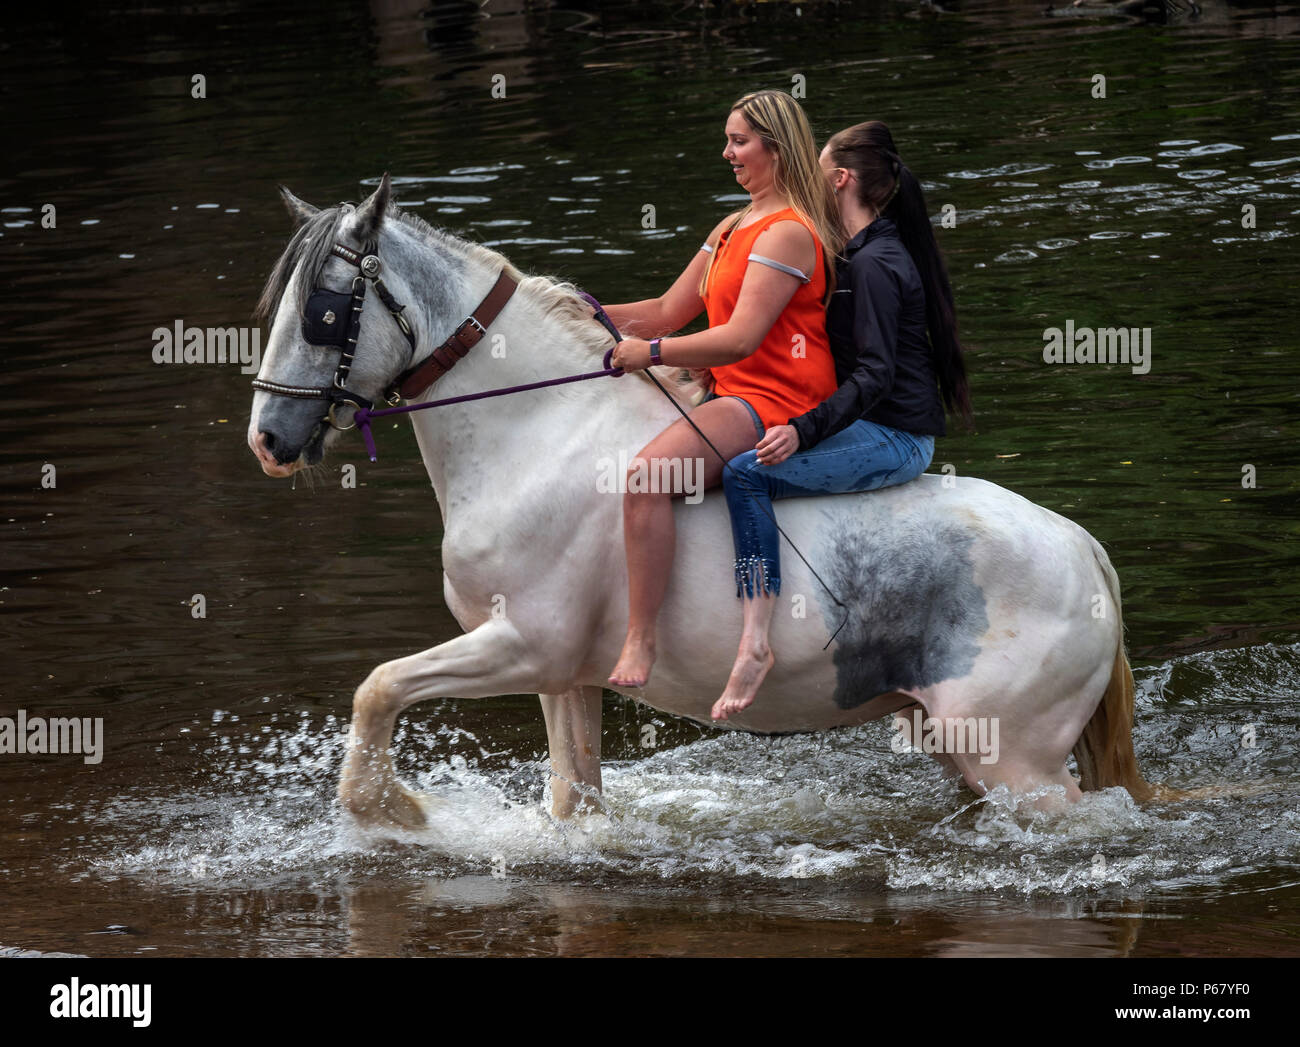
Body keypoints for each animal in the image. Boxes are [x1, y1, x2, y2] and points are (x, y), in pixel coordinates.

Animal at [246, 174, 1157, 830]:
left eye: (322, 312)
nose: (268, 440)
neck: (535, 431)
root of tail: (1085, 549)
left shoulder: (521, 645)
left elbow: (377, 687)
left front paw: (394, 810)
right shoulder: (562, 673)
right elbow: (572, 796)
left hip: (1018, 764)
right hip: (960, 746)